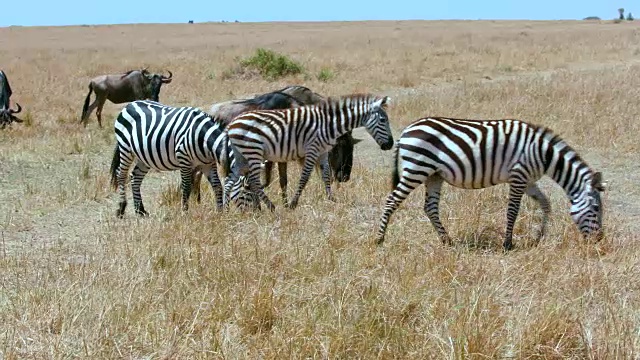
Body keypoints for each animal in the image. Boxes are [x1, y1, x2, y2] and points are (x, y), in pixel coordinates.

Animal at [110, 99, 258, 217]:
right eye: (247, 189)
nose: (256, 215)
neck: (204, 139)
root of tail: (131, 103)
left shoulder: (208, 164)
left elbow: (217, 186)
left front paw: (219, 212)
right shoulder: (184, 160)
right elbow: (186, 187)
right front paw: (184, 213)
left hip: (144, 156)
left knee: (135, 177)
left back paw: (140, 210)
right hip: (125, 148)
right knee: (121, 174)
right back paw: (121, 208)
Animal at [225, 93, 396, 211]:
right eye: (383, 120)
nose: (390, 144)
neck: (328, 125)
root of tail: (231, 124)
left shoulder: (322, 152)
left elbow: (326, 175)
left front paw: (332, 199)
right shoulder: (312, 150)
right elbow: (305, 177)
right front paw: (293, 204)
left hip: (243, 156)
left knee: (230, 179)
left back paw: (224, 210)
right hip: (253, 153)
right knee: (253, 180)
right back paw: (271, 206)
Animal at [378, 118, 608, 250]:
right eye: (596, 208)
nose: (599, 240)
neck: (544, 154)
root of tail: (406, 130)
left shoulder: (528, 180)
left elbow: (545, 204)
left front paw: (539, 237)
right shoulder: (519, 176)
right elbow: (512, 211)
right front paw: (508, 244)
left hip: (433, 175)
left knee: (430, 208)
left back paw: (447, 241)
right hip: (417, 168)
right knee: (392, 201)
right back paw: (379, 239)